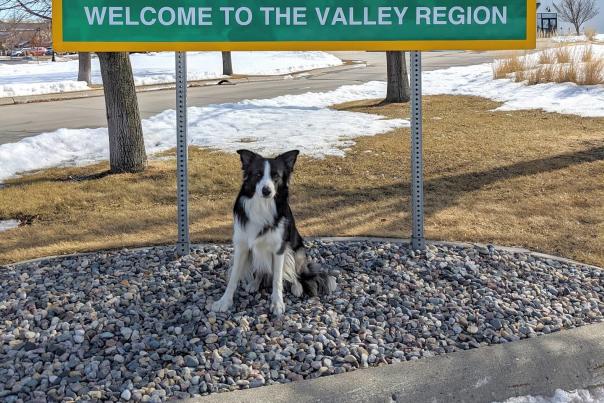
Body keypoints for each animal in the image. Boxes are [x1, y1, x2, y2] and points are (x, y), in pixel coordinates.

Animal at [211, 150, 336, 318]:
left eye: (276, 175)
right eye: (257, 174)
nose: (267, 191)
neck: (262, 206)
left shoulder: (279, 249)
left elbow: (277, 279)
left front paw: (277, 304)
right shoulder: (242, 247)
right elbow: (233, 278)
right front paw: (224, 302)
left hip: (297, 250)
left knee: (295, 274)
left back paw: (297, 287)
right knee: (262, 271)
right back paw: (254, 283)